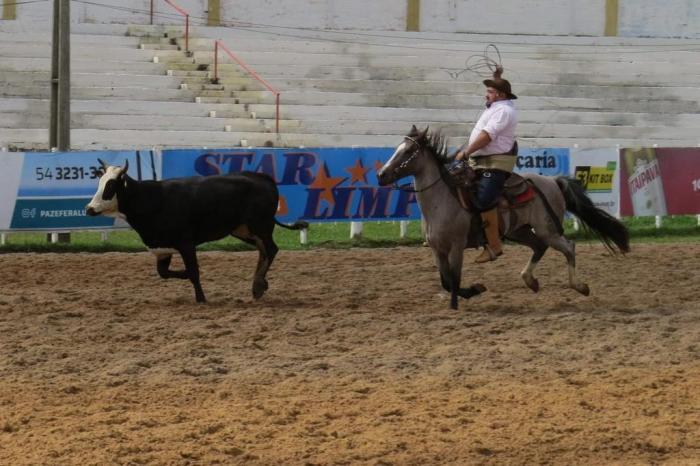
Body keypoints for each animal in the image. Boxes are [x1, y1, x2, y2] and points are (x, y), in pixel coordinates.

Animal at [85, 158, 306, 304]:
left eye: (110, 186)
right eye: (100, 183)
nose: (89, 208)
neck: (151, 199)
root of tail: (263, 178)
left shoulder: (186, 244)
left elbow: (193, 271)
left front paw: (201, 298)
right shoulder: (162, 248)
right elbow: (165, 273)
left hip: (260, 226)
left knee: (271, 249)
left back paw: (259, 284)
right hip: (242, 230)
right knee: (263, 250)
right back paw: (258, 285)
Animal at [378, 125, 628, 312]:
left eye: (408, 152)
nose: (382, 175)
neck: (442, 201)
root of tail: (553, 181)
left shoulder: (456, 246)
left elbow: (454, 279)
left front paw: (459, 302)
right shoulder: (436, 249)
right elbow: (446, 281)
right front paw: (472, 291)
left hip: (547, 230)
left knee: (569, 247)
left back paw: (579, 286)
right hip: (519, 231)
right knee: (539, 246)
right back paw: (530, 280)